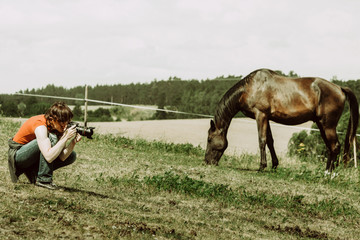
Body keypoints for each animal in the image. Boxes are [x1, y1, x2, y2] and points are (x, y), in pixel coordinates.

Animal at [204, 68, 358, 172]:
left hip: (328, 126)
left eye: (209, 139)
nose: (206, 161)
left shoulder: (260, 115)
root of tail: (340, 88)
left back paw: (329, 173)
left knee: (335, 146)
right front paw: (274, 165)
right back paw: (326, 171)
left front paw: (262, 166)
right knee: (330, 147)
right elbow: (270, 141)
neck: (250, 88)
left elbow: (262, 140)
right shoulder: (266, 117)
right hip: (321, 125)